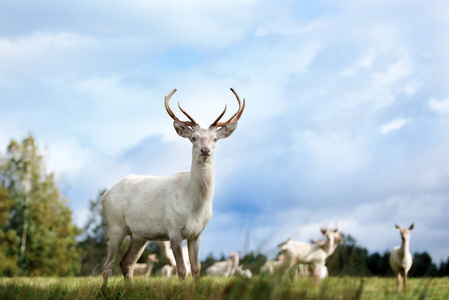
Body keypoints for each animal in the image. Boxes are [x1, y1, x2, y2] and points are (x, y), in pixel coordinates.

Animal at [102, 87, 245, 284]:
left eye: (215, 138)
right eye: (193, 138)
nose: (205, 150)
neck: (195, 207)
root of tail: (105, 195)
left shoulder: (197, 233)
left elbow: (196, 269)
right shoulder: (173, 229)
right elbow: (182, 269)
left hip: (139, 235)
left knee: (126, 263)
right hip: (115, 224)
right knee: (107, 264)